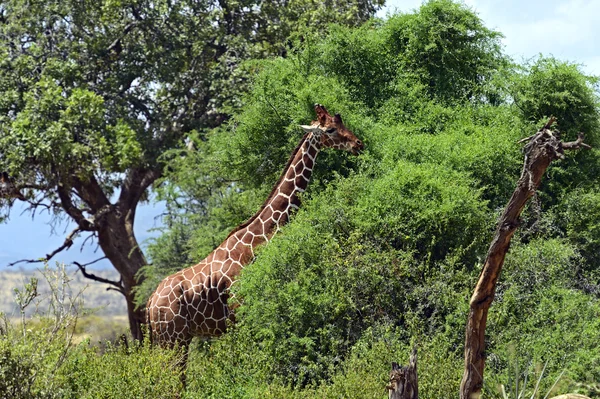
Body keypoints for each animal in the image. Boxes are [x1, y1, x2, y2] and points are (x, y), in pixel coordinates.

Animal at [148, 104, 364, 352]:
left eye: (341, 122)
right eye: (330, 129)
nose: (358, 144)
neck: (256, 242)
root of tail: (150, 304)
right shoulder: (239, 311)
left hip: (170, 339)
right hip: (173, 339)